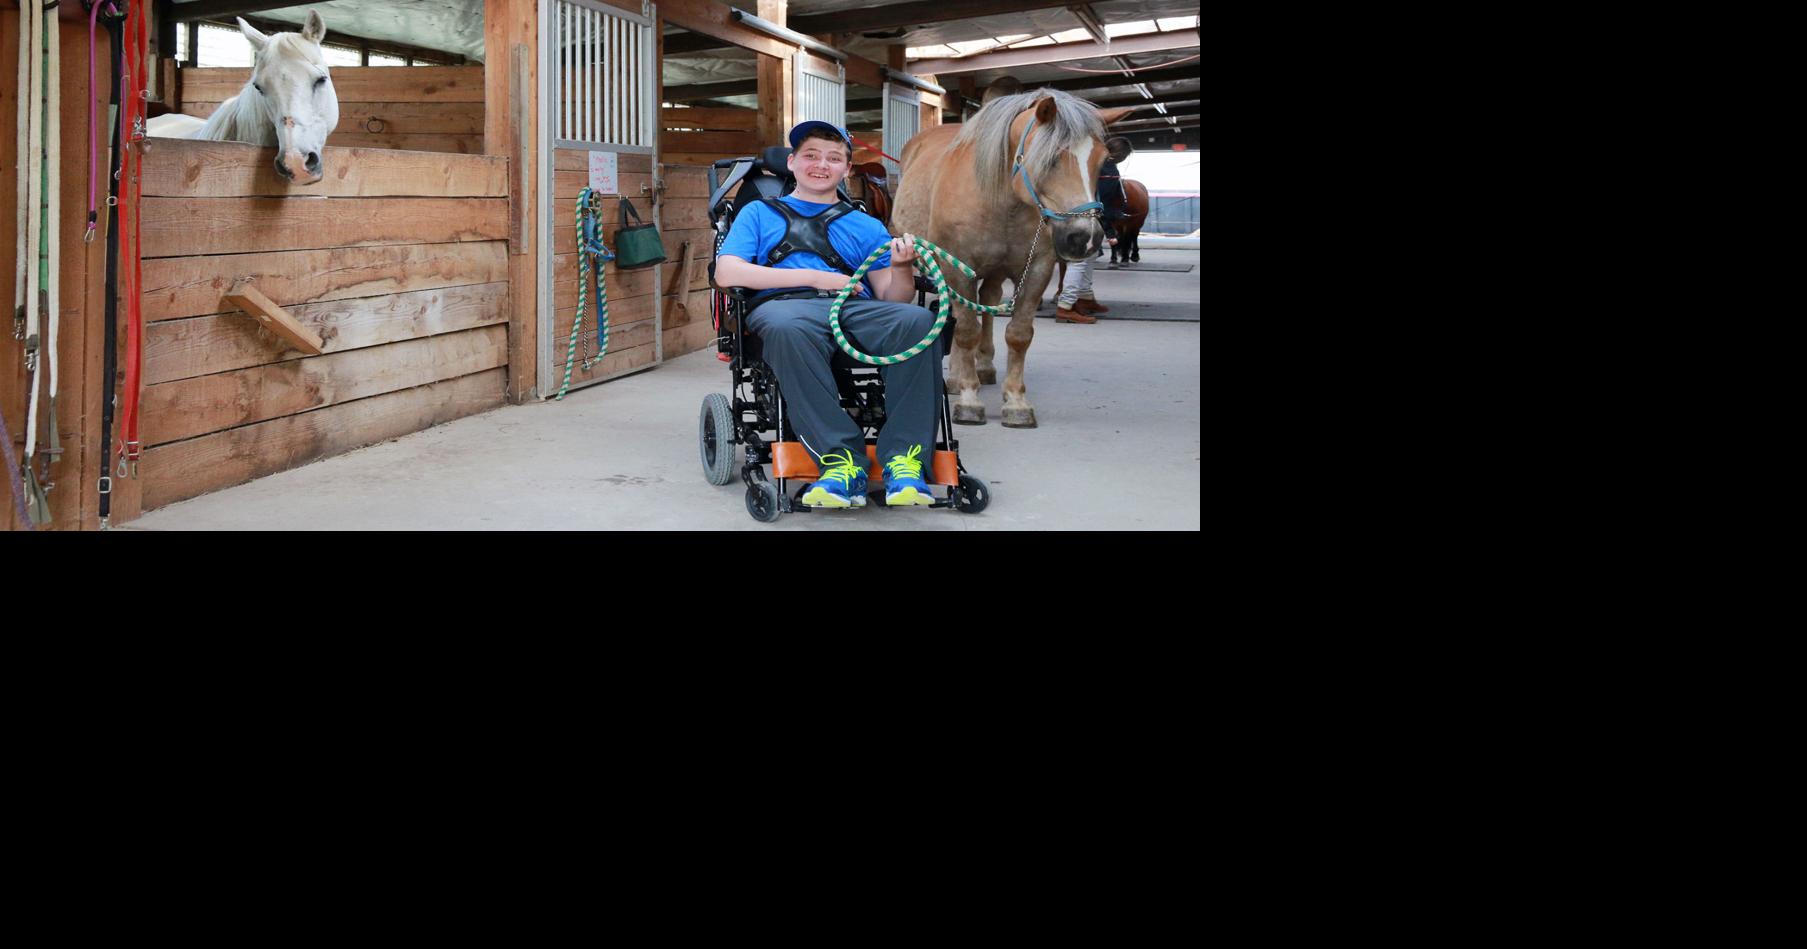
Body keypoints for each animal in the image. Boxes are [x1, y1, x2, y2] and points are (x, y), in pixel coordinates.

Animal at [892, 89, 1136, 427]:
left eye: (1100, 162)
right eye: (1050, 158)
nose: (1083, 238)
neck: (1000, 198)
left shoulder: (1037, 270)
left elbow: (1019, 335)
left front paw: (1016, 402)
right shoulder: (957, 268)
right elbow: (966, 330)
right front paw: (969, 399)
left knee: (988, 302)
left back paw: (983, 367)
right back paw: (957, 378)